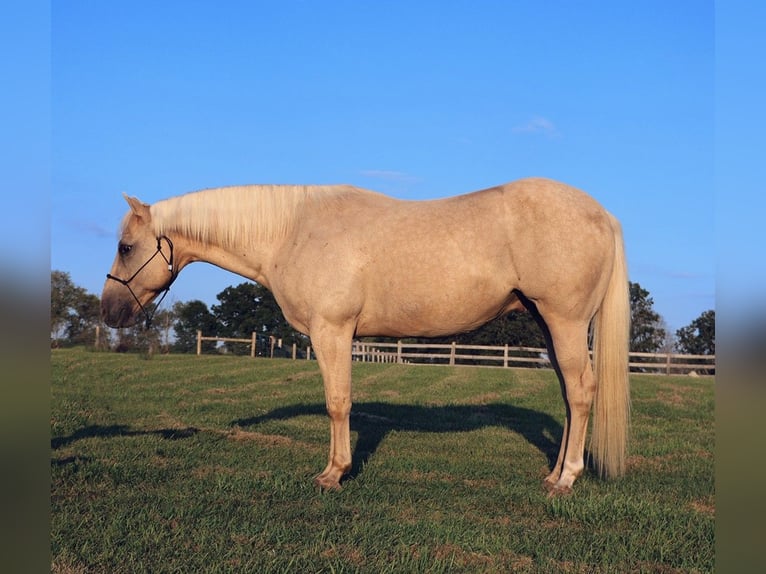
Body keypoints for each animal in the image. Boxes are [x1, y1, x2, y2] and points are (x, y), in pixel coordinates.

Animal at [101, 177, 630, 494]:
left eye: (126, 247)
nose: (109, 311)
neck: (293, 232)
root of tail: (603, 214)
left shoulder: (331, 331)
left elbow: (338, 403)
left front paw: (333, 473)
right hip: (548, 324)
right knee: (569, 395)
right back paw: (554, 472)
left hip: (564, 322)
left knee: (581, 393)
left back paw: (566, 480)